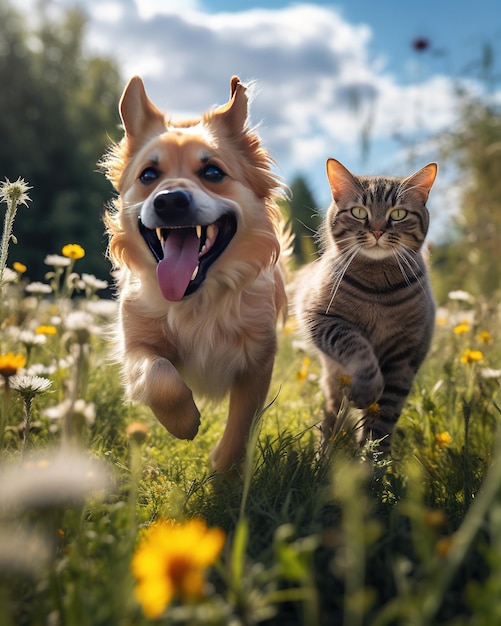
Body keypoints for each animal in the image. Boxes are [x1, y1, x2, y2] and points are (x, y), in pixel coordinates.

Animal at [100, 75, 290, 470]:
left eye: (213, 172)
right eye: (149, 175)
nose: (170, 200)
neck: (197, 298)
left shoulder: (258, 360)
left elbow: (242, 422)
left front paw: (224, 470)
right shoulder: (136, 343)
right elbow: (159, 376)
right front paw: (184, 421)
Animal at [294, 156, 436, 448]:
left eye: (398, 214)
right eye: (360, 212)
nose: (378, 230)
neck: (377, 290)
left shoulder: (405, 355)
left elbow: (381, 423)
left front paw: (371, 460)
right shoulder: (320, 317)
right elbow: (356, 345)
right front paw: (366, 388)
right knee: (330, 419)